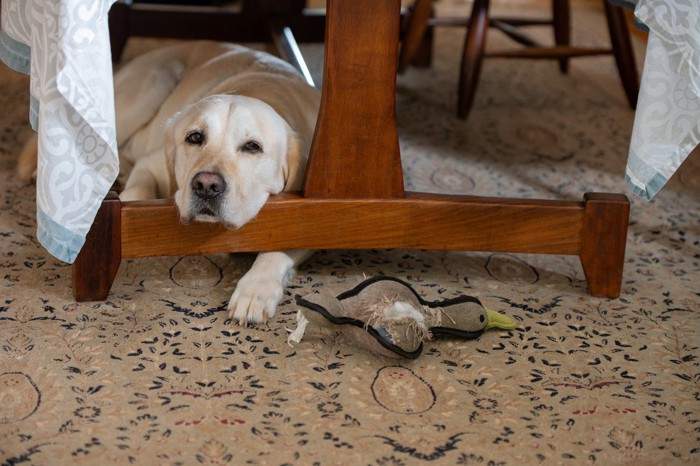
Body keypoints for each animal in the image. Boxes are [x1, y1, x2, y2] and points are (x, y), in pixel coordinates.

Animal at [18, 41, 320, 326]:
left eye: (253, 147)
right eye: (195, 137)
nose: (206, 186)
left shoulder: (314, 206)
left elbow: (284, 241)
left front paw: (255, 289)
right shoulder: (152, 164)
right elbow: (138, 192)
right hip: (148, 90)